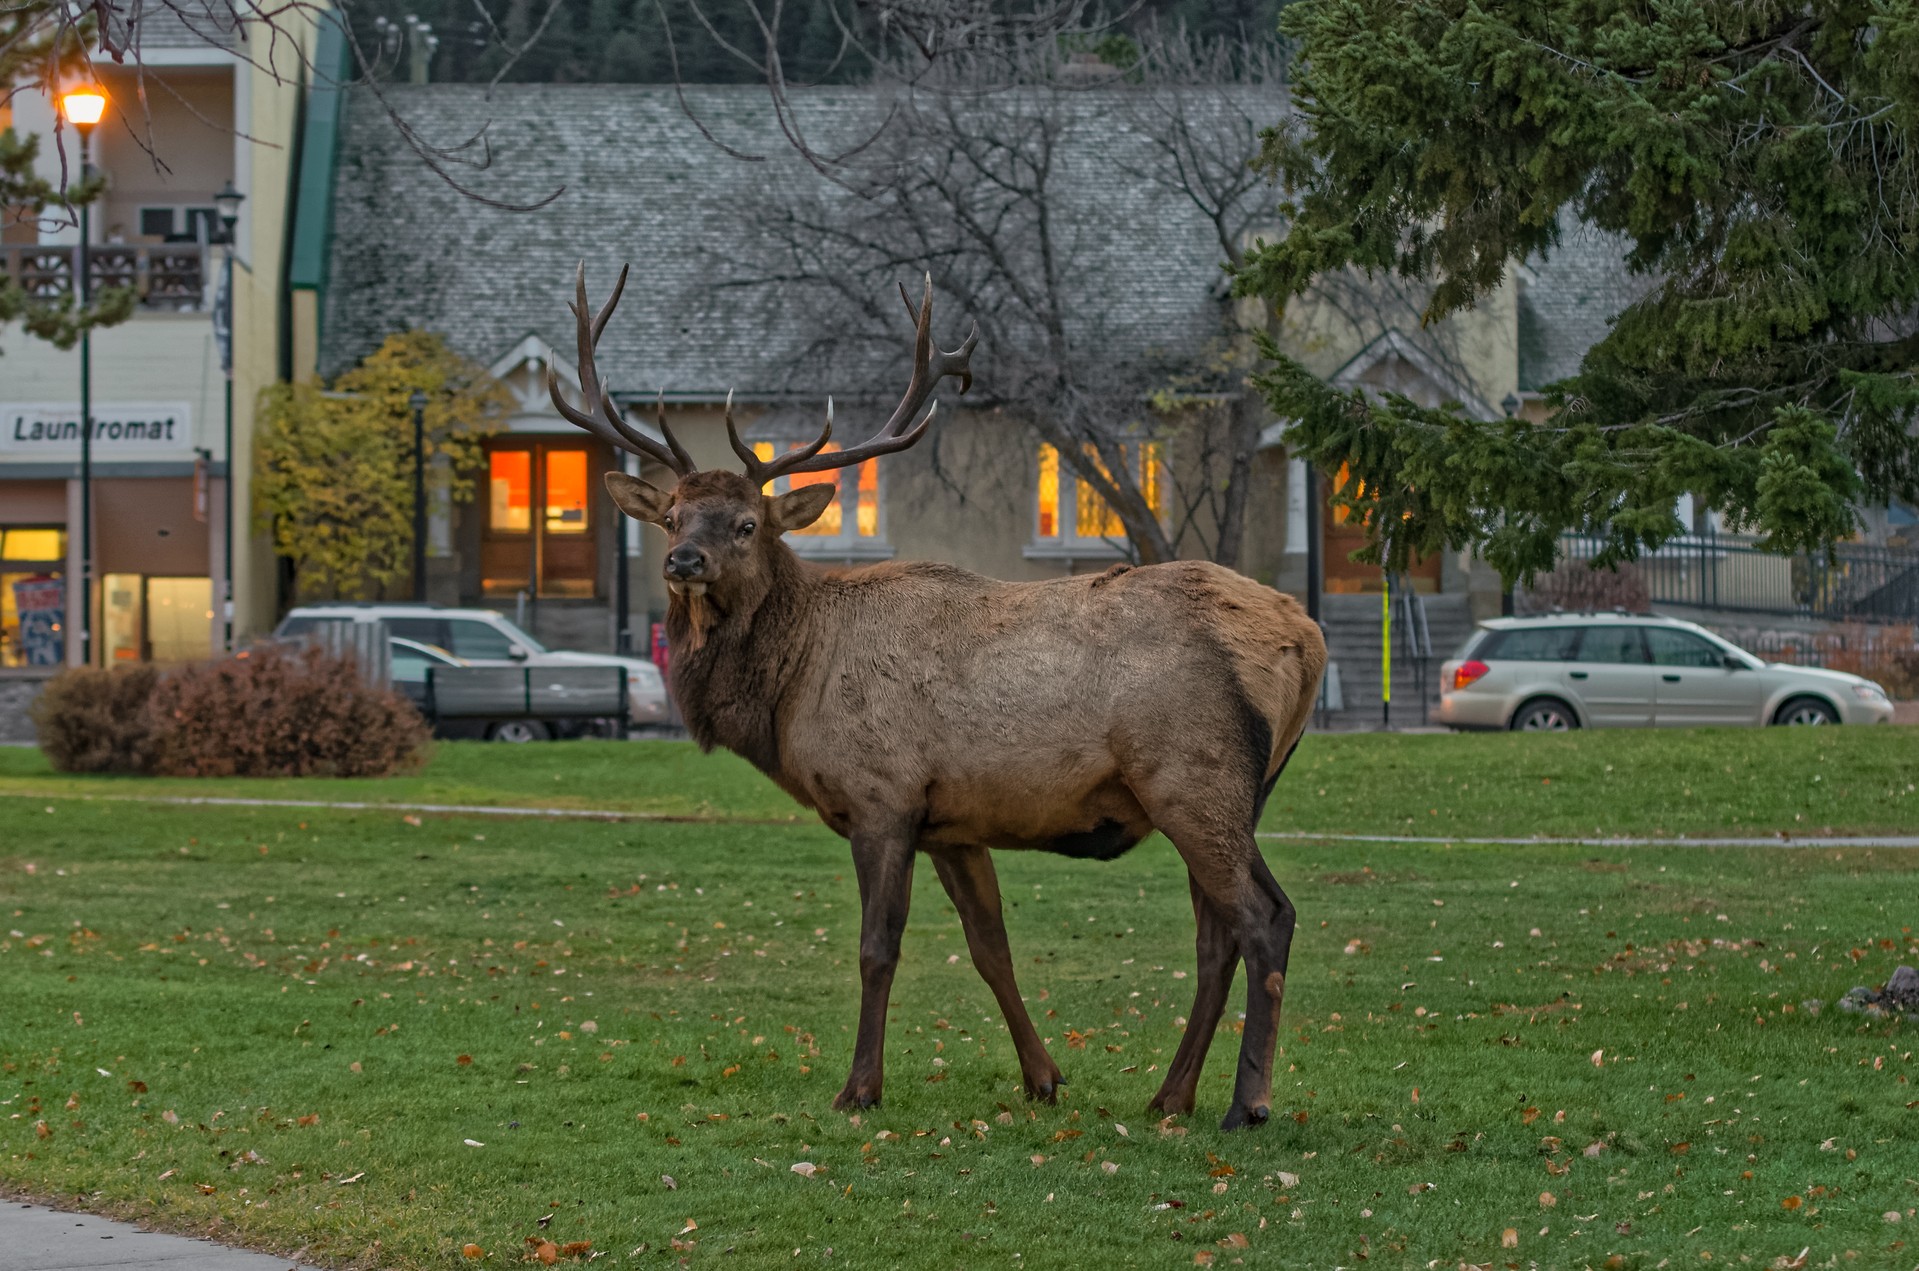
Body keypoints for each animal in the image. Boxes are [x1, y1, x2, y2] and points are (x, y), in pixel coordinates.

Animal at [548, 263, 1327, 1128]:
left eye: (748, 523)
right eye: (675, 514)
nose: (683, 560)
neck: (792, 685)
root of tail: (1306, 638)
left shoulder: (881, 796)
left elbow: (875, 947)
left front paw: (859, 1086)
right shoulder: (953, 819)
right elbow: (991, 948)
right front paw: (1043, 1076)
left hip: (1194, 775)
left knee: (1265, 918)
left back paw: (1246, 1103)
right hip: (1232, 790)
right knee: (1215, 935)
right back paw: (1170, 1094)